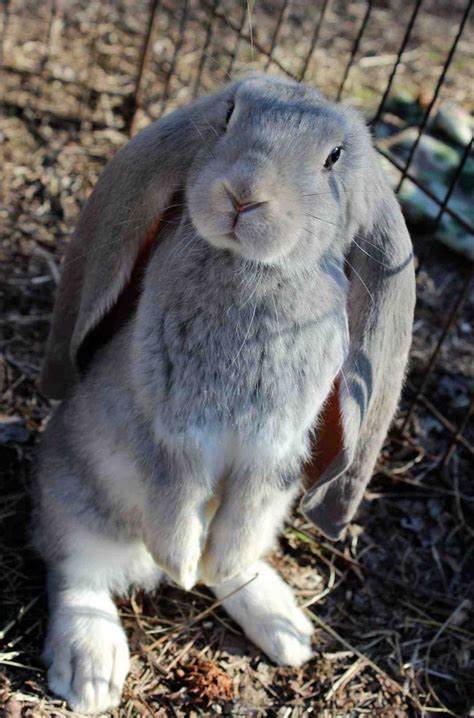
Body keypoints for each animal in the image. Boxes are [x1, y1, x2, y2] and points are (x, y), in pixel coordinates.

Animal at [34, 73, 414, 716]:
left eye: (334, 157)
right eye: (229, 115)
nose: (244, 193)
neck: (250, 269)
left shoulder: (276, 450)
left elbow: (242, 513)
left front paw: (207, 563)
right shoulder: (171, 433)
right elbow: (176, 487)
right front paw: (182, 563)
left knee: (237, 556)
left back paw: (287, 632)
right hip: (73, 494)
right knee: (75, 569)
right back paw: (92, 671)